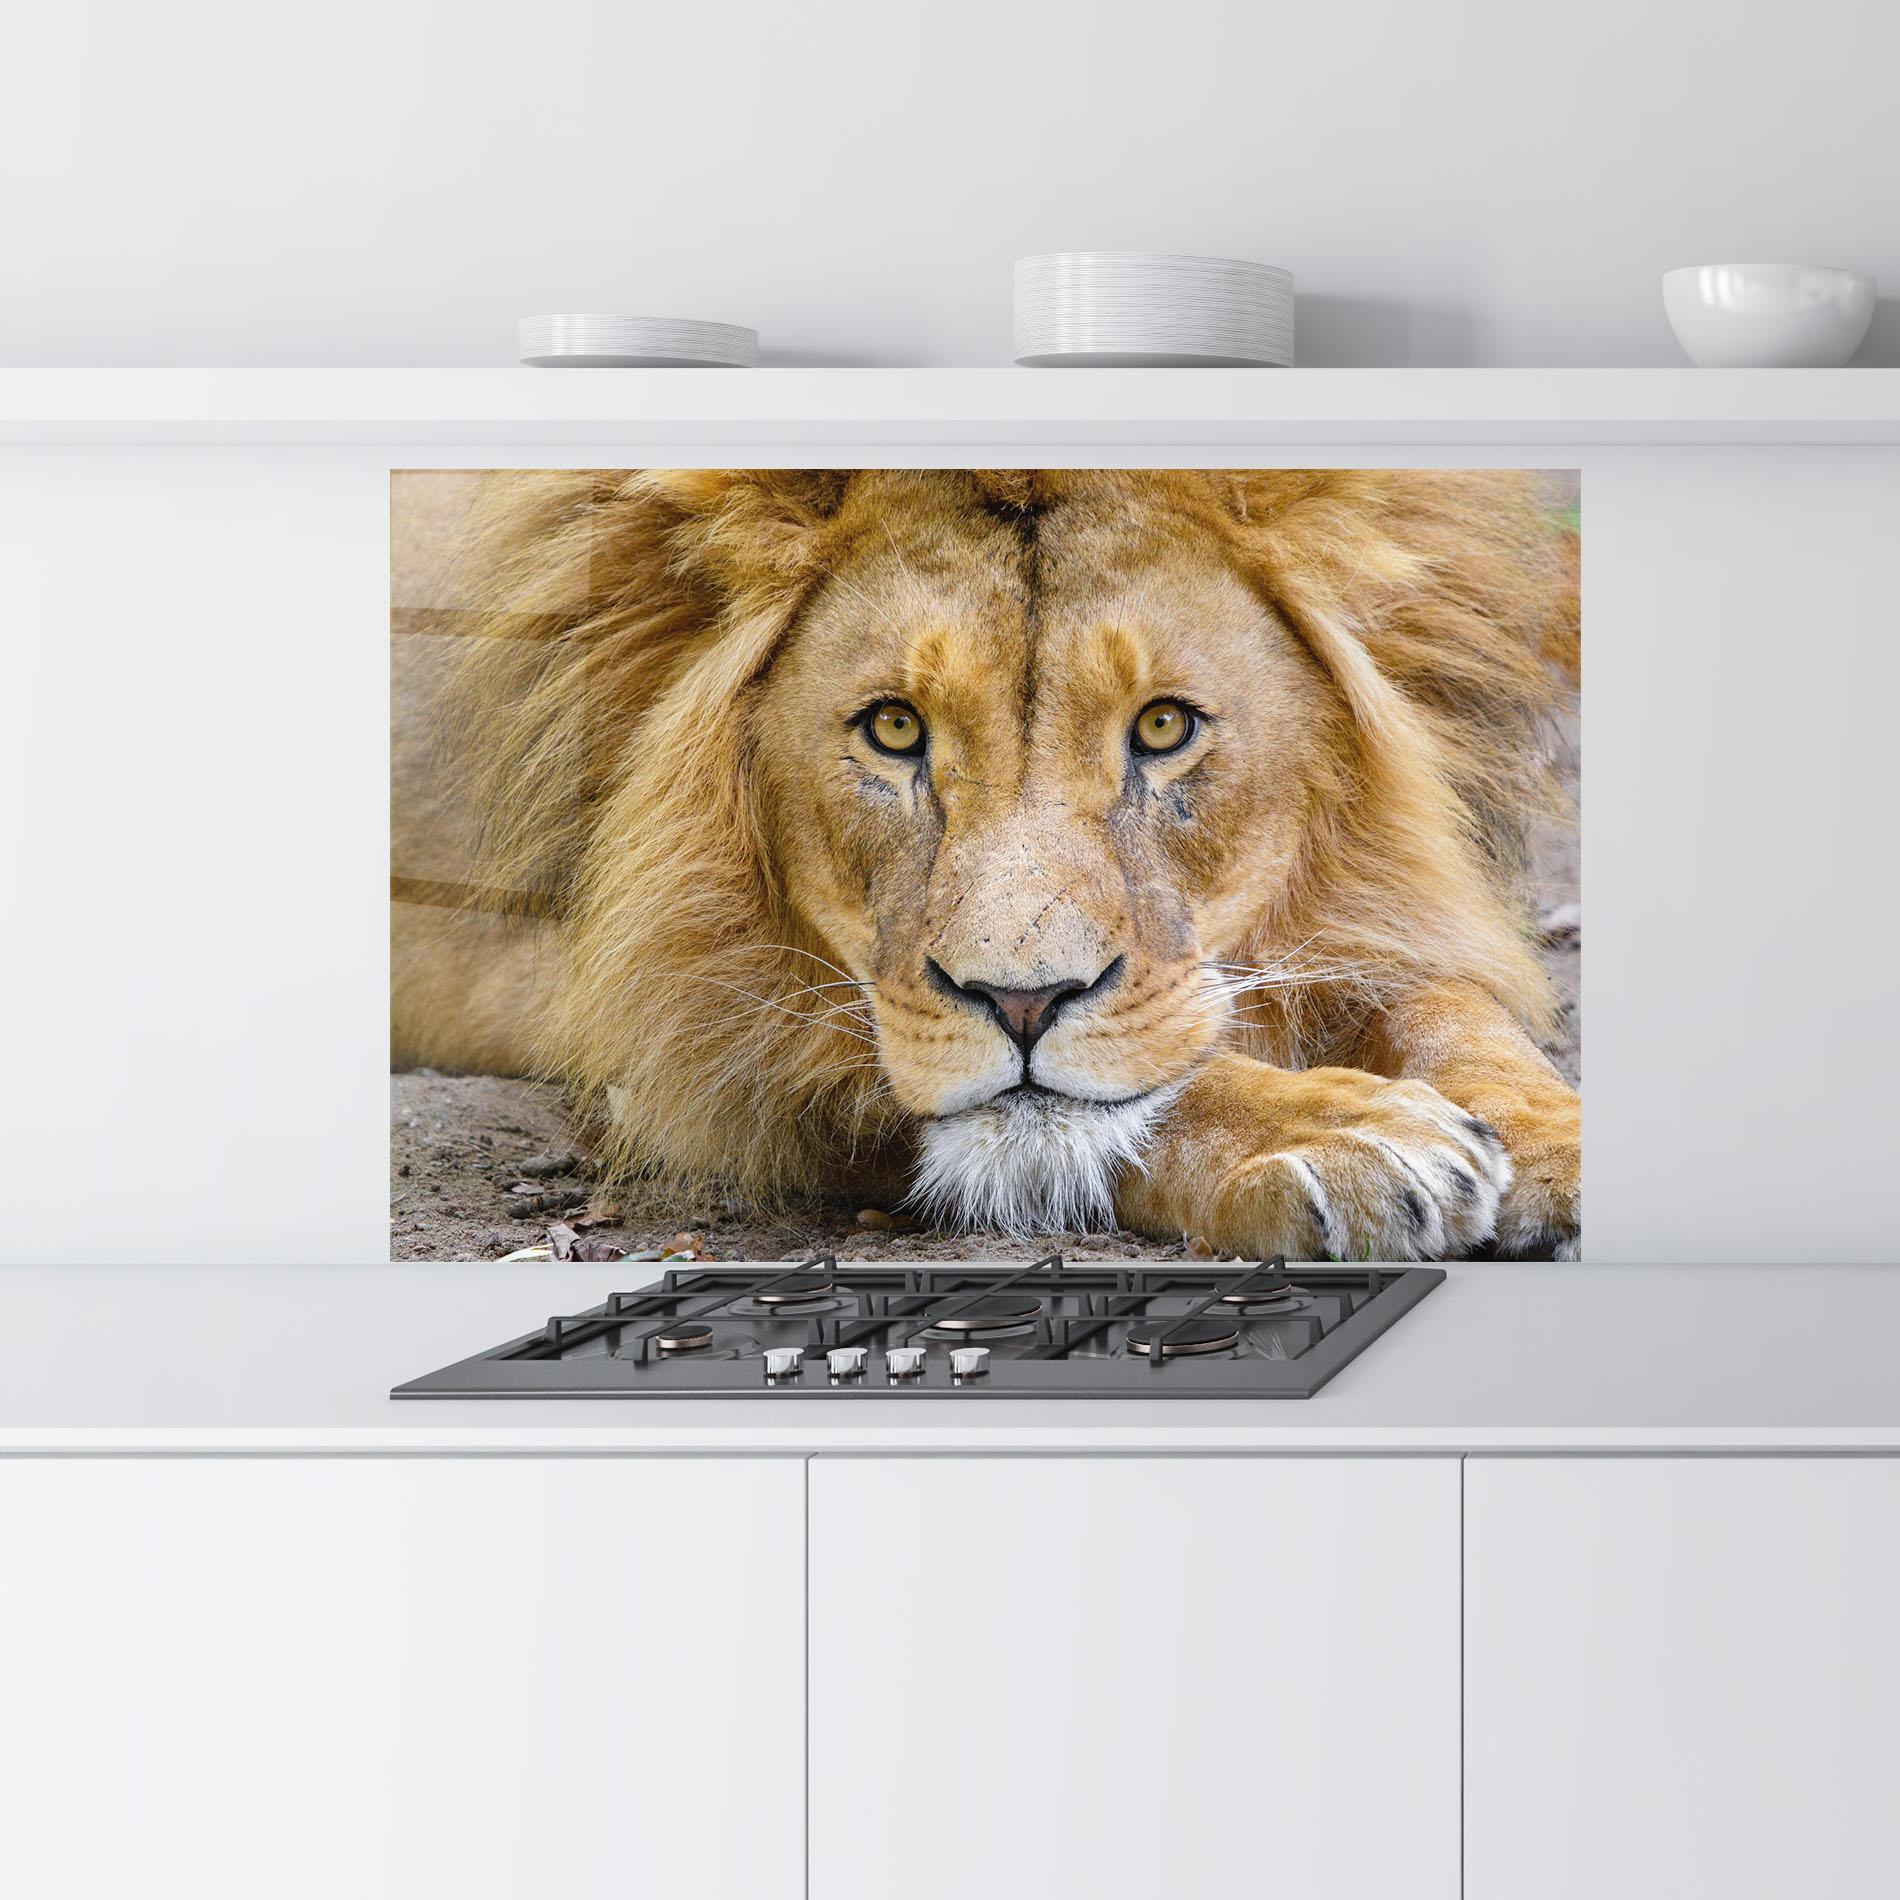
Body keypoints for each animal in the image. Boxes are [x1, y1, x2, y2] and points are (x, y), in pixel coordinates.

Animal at [393, 468, 1581, 1260]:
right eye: (893, 729)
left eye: (1162, 726)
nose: (1022, 1003)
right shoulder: (687, 1033)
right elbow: (1148, 1095)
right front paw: (1343, 1134)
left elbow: (1450, 1010)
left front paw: (1556, 1145)